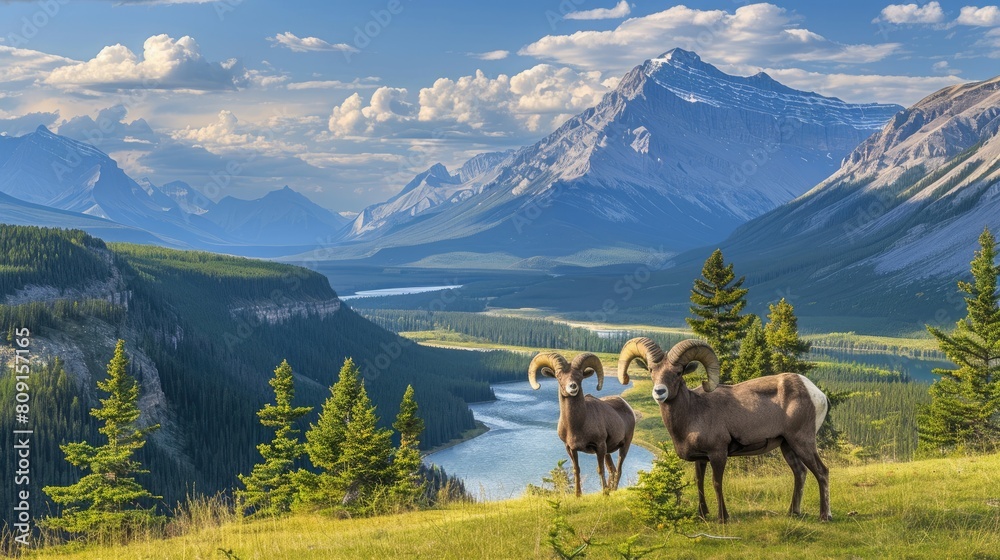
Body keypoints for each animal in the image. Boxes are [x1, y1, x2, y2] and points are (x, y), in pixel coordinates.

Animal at [528, 352, 636, 496]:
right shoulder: (570, 448)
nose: (572, 387)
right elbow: (576, 470)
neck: (576, 425)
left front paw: (604, 494)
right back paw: (610, 489)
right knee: (612, 470)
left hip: (624, 446)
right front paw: (578, 495)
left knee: (618, 469)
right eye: (559, 376)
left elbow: (600, 469)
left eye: (579, 376)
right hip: (608, 452)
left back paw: (612, 491)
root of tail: (626, 405)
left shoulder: (599, 446)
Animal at [616, 337, 831, 522]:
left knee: (822, 471)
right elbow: (699, 483)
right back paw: (793, 512)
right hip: (787, 445)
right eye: (651, 370)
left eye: (678, 372)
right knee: (800, 472)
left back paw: (825, 516)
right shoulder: (701, 458)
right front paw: (702, 515)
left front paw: (722, 518)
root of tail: (817, 394)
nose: (659, 392)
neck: (693, 413)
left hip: (802, 441)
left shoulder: (718, 454)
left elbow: (716, 483)